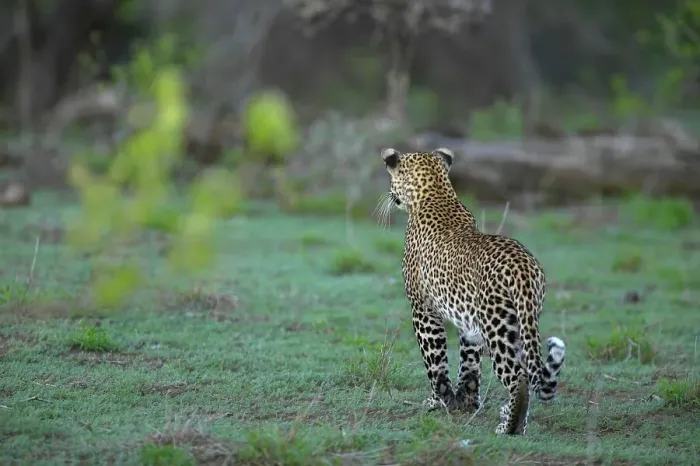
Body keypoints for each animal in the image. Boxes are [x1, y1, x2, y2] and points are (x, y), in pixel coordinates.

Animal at [378, 146, 566, 436]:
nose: (390, 196)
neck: (436, 193)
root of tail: (523, 265)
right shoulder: (469, 323)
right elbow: (469, 363)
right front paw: (465, 401)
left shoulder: (423, 310)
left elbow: (435, 361)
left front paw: (438, 400)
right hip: (522, 322)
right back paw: (512, 417)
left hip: (497, 327)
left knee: (519, 376)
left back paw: (509, 427)